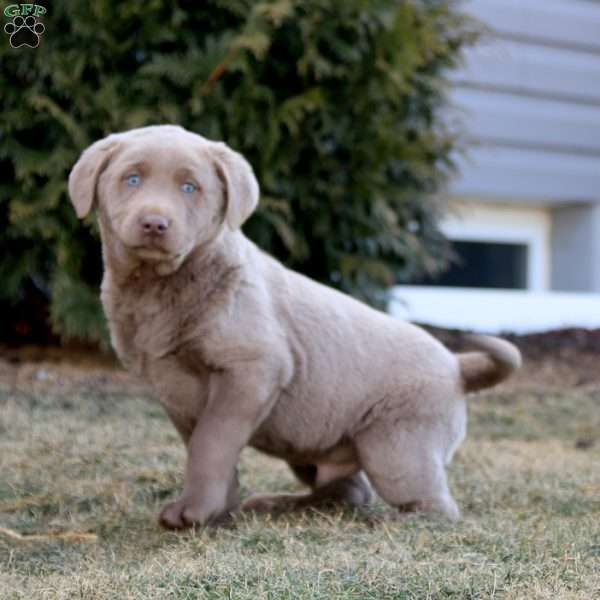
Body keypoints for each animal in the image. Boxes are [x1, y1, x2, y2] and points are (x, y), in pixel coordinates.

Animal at [69, 124, 520, 528]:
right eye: (131, 179)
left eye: (190, 187)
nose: (154, 224)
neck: (159, 286)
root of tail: (457, 365)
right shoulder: (174, 390)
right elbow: (206, 446)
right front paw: (219, 512)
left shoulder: (253, 368)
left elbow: (212, 443)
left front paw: (196, 512)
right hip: (317, 444)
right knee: (350, 491)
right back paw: (277, 505)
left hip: (398, 447)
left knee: (432, 504)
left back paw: (389, 519)